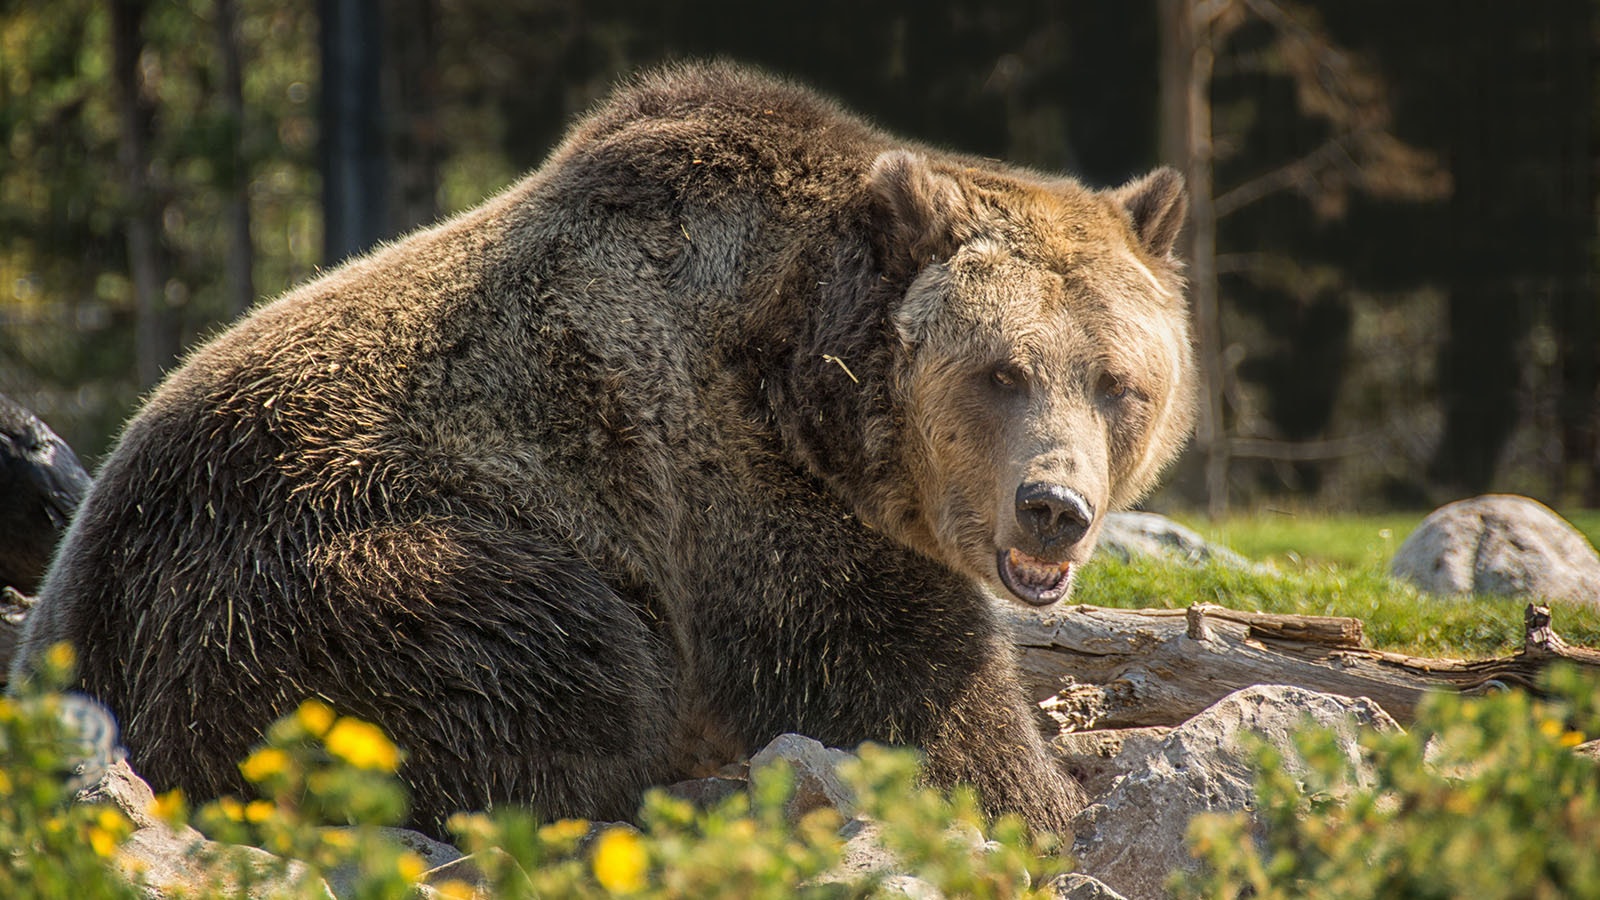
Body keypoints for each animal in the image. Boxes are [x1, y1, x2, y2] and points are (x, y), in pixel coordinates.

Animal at [13, 62, 1195, 839]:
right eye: (1000, 371)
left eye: (1118, 383)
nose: (1054, 507)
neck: (811, 379)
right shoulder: (738, 491)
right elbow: (905, 689)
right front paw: (1043, 798)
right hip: (315, 580)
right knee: (562, 663)